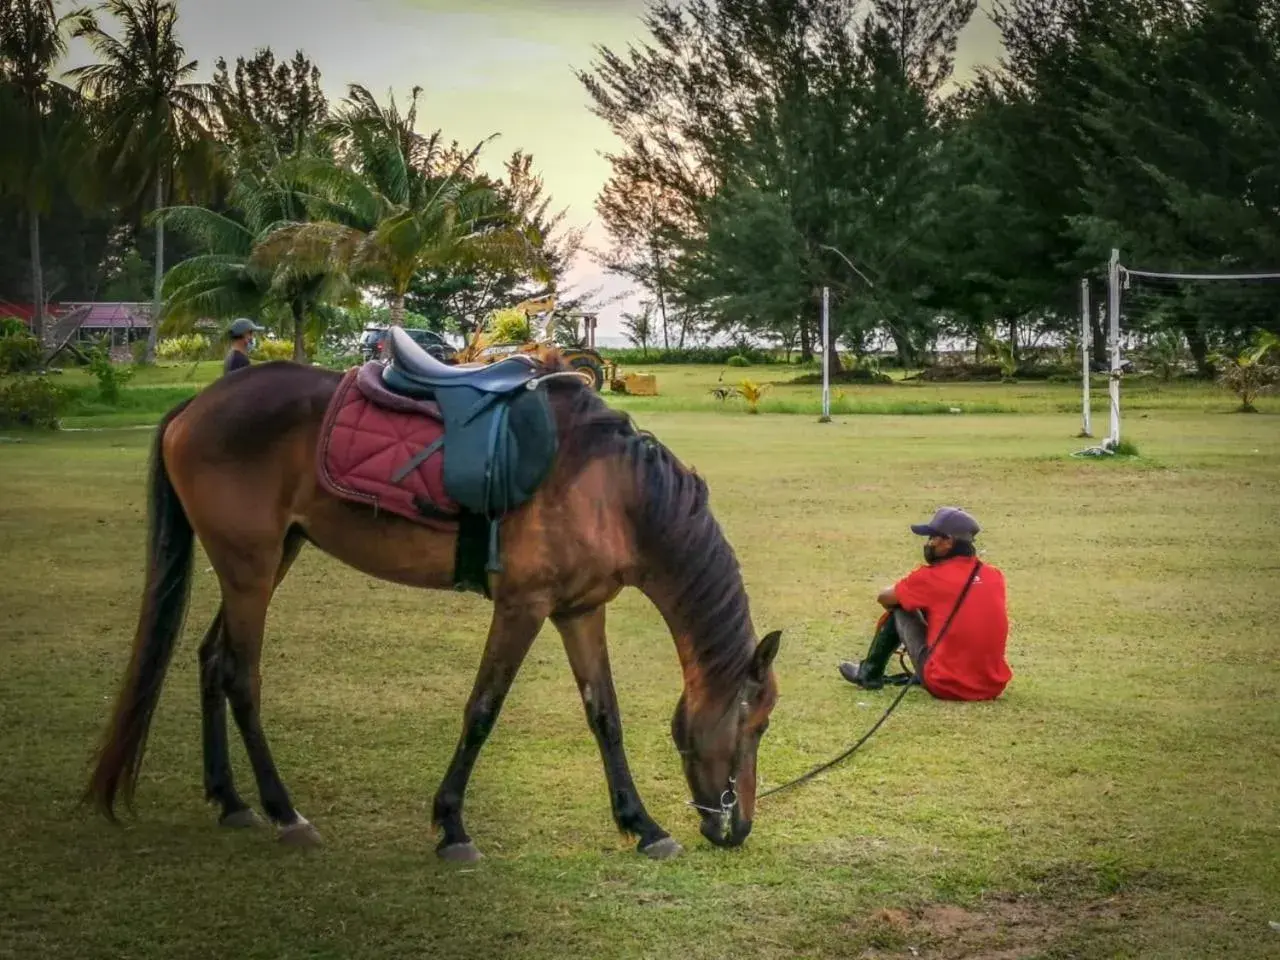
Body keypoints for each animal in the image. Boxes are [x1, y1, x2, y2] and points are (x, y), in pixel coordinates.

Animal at [87, 348, 778, 865]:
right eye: (760, 725)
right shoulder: (523, 607)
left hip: (266, 560)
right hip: (250, 568)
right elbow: (482, 711)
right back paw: (284, 812)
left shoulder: (580, 611)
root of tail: (197, 404)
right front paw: (452, 827)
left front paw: (644, 826)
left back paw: (231, 801)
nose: (738, 827)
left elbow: (604, 715)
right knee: (240, 677)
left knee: (211, 659)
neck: (613, 490)